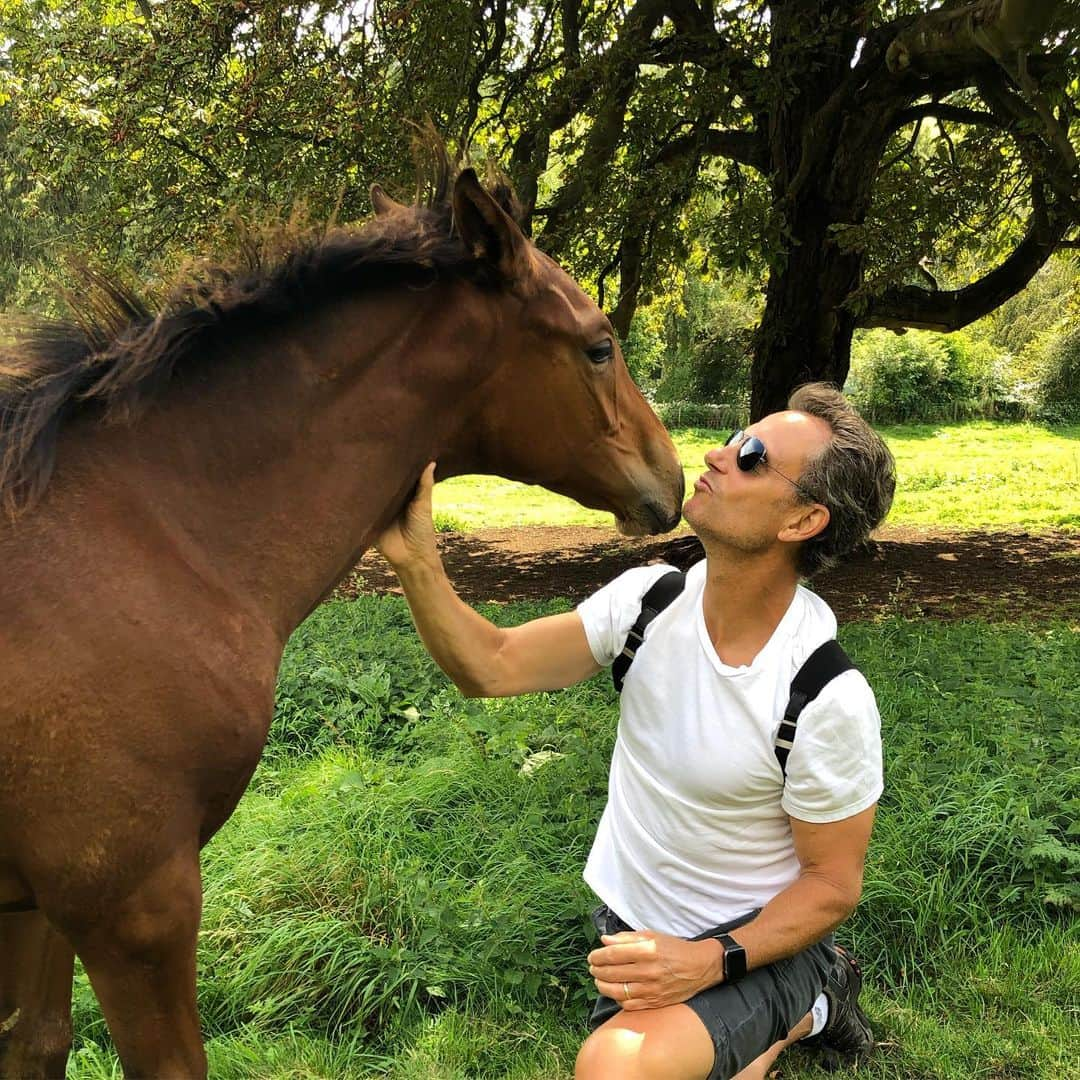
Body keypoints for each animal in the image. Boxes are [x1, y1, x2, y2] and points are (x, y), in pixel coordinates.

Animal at [0, 164, 682, 1075]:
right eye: (599, 344)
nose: (673, 477)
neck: (151, 537)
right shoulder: (133, 902)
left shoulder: (38, 901)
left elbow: (34, 1039)